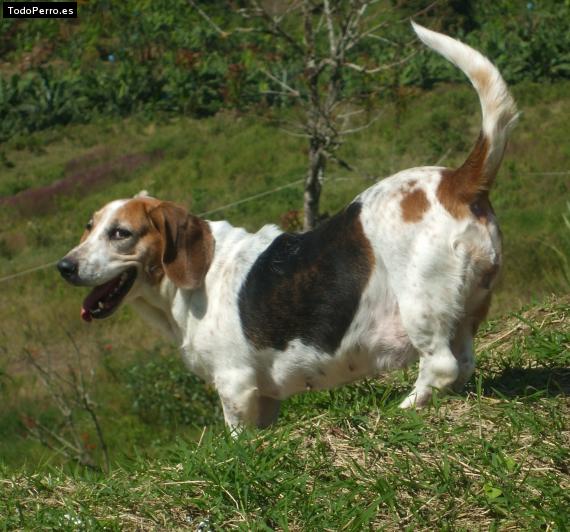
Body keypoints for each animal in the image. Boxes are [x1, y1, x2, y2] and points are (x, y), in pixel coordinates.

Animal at [56, 25, 516, 430]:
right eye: (88, 227)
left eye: (120, 233)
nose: (64, 267)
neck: (193, 282)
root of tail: (458, 180)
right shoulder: (265, 398)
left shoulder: (236, 388)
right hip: (468, 309)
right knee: (463, 364)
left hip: (421, 306)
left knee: (441, 366)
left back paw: (402, 409)